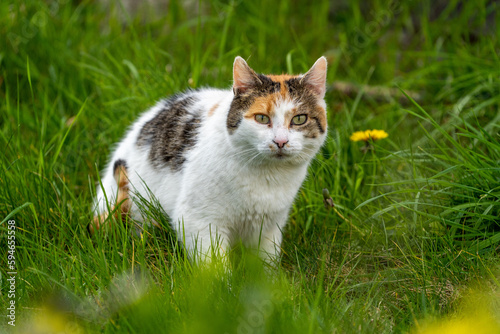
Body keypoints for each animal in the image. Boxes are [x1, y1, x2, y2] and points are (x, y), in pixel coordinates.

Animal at [91, 56, 328, 264]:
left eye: (299, 119)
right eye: (262, 118)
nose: (280, 141)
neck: (267, 176)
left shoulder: (269, 226)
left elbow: (265, 264)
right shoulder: (198, 221)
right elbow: (214, 267)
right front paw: (223, 287)